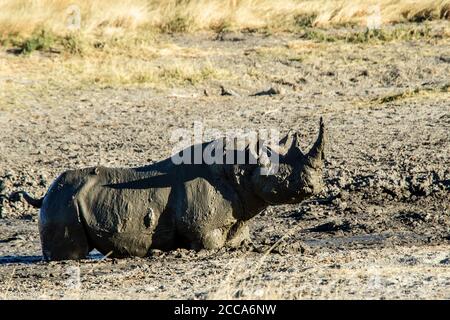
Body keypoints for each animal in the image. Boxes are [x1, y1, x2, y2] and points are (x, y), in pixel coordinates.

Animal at [14, 117, 324, 260]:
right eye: (280, 178)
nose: (314, 186)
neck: (242, 171)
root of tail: (45, 194)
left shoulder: (239, 216)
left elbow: (239, 239)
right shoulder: (202, 229)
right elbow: (211, 244)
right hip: (62, 201)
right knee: (71, 251)